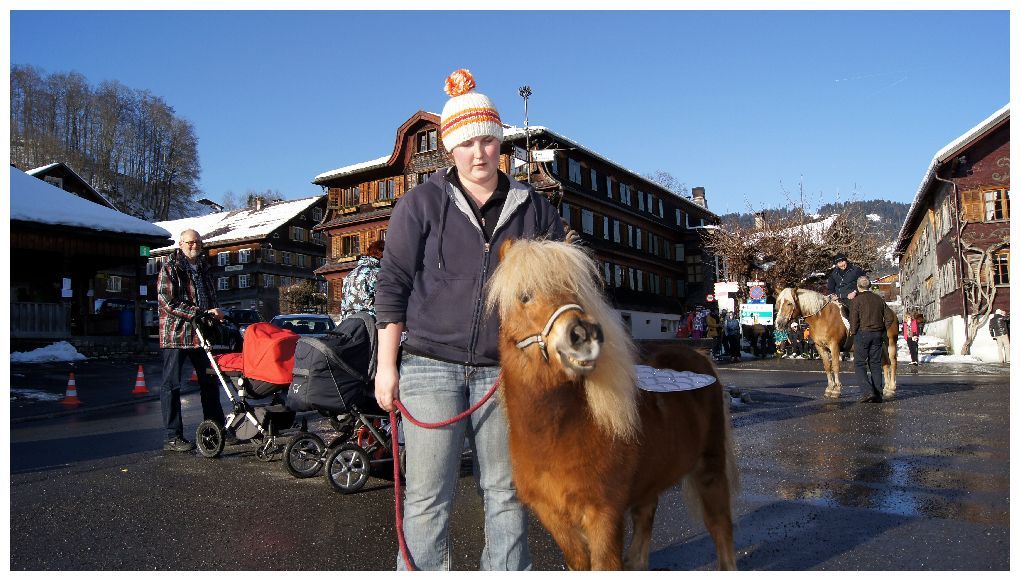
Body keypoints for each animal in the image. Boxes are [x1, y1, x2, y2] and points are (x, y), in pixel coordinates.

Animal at [485, 239, 738, 570]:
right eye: (525, 296)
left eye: (579, 290)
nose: (584, 335)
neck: (557, 434)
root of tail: (700, 357)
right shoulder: (552, 516)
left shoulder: (604, 514)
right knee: (646, 517)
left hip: (711, 466)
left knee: (720, 525)